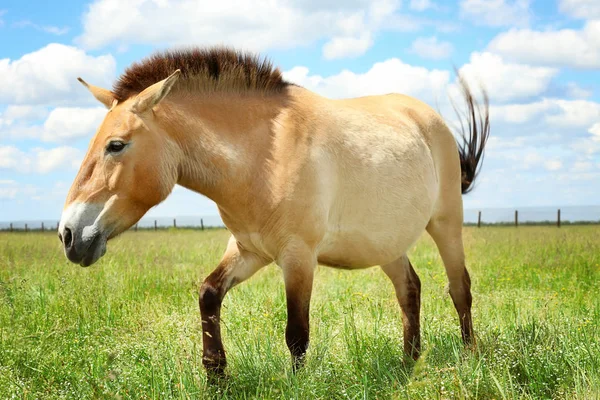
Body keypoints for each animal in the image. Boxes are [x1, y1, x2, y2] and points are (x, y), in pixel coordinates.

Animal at [58, 47, 490, 378]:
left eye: (115, 145)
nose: (68, 234)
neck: (264, 156)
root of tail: (429, 119)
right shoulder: (249, 250)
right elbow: (208, 293)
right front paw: (216, 375)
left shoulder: (297, 257)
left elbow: (296, 332)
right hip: (385, 243)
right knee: (409, 289)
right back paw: (408, 363)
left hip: (446, 224)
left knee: (460, 289)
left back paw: (471, 356)